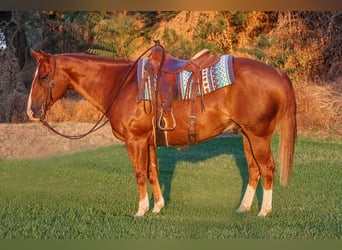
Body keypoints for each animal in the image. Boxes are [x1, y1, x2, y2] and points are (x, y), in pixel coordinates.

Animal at [27, 48, 296, 217]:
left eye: (43, 77)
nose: (31, 111)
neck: (121, 84)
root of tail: (278, 73)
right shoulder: (148, 141)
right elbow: (153, 172)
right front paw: (157, 207)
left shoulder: (135, 140)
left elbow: (139, 174)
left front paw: (141, 210)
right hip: (246, 136)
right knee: (254, 170)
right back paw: (244, 208)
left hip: (258, 137)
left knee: (267, 169)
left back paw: (264, 211)